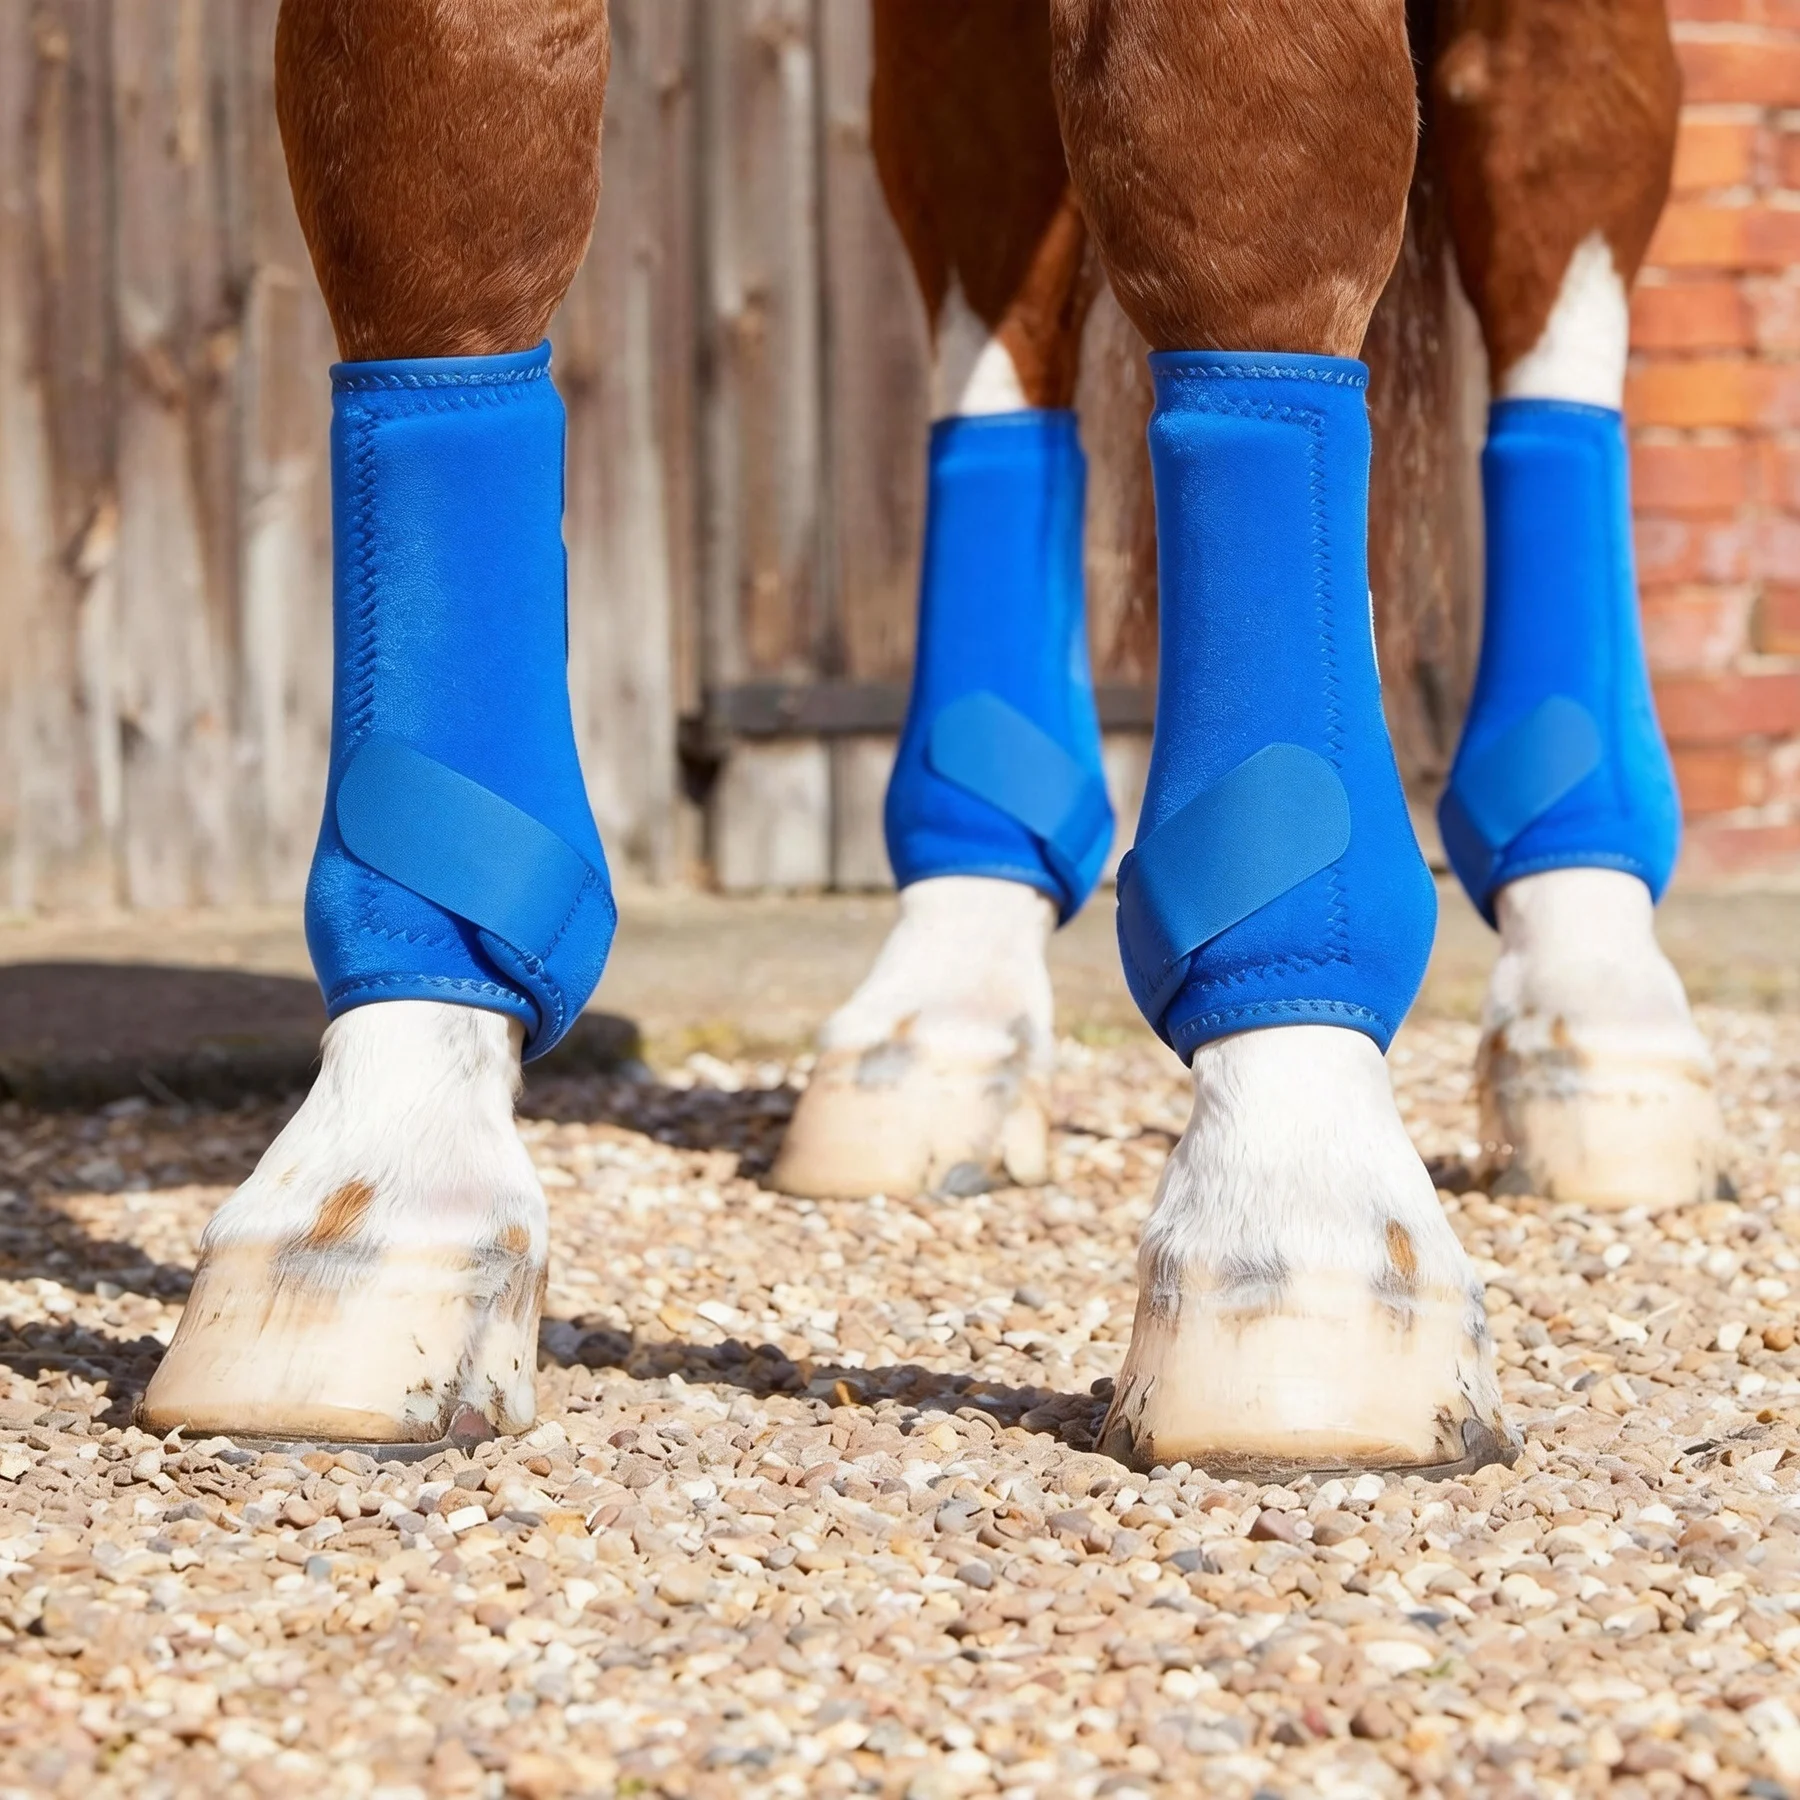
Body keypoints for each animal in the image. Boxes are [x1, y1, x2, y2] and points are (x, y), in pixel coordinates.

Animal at [140, 0, 1718, 1479]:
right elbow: (439, 205)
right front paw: (369, 1202)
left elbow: (1244, 213)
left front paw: (1296, 1216)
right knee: (994, 281)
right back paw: (943, 1009)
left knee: (1556, 235)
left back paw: (1598, 994)